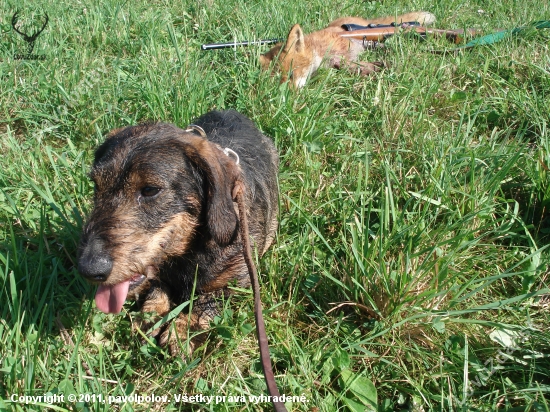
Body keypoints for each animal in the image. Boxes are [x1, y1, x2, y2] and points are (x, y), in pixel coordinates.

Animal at [77, 109, 280, 354]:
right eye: (96, 185)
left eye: (150, 190)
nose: (89, 270)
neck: (190, 251)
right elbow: (157, 286)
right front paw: (152, 314)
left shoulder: (238, 279)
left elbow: (208, 299)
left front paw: (183, 330)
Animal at [260, 11, 438, 87]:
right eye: (277, 81)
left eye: (291, 75)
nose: (290, 98)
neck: (318, 50)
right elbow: (348, 65)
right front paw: (374, 68)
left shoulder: (343, 47)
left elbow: (349, 62)